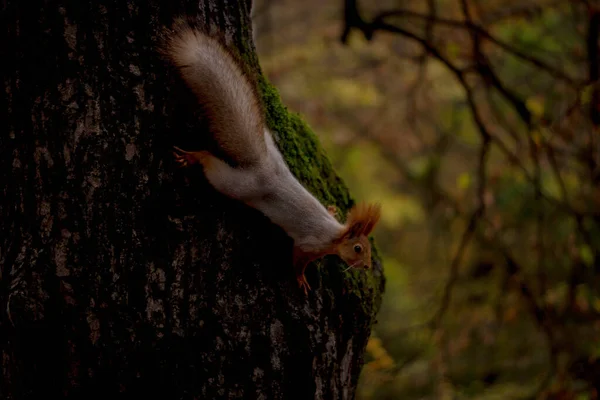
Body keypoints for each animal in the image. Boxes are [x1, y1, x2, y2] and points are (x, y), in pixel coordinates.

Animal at [161, 21, 380, 294]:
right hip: (234, 184)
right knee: (211, 164)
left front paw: (332, 208)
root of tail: (262, 164)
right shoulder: (309, 243)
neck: (334, 234)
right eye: (358, 248)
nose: (366, 266)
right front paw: (301, 279)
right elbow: (297, 259)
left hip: (269, 144)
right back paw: (194, 157)